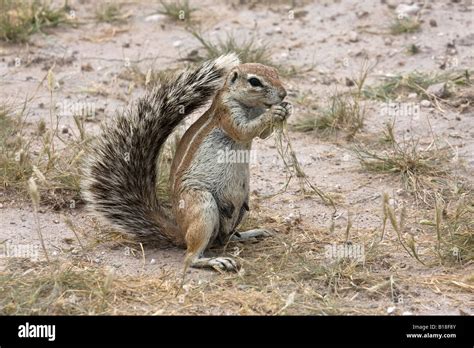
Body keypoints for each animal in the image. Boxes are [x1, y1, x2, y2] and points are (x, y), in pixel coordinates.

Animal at [82, 53, 290, 272]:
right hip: (201, 205)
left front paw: (287, 109)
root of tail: (181, 232)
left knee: (224, 238)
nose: (283, 94)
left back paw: (250, 234)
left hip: (240, 207)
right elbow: (243, 130)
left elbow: (263, 134)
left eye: (276, 72)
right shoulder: (227, 113)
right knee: (191, 257)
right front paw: (274, 112)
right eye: (254, 82)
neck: (250, 106)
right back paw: (215, 260)